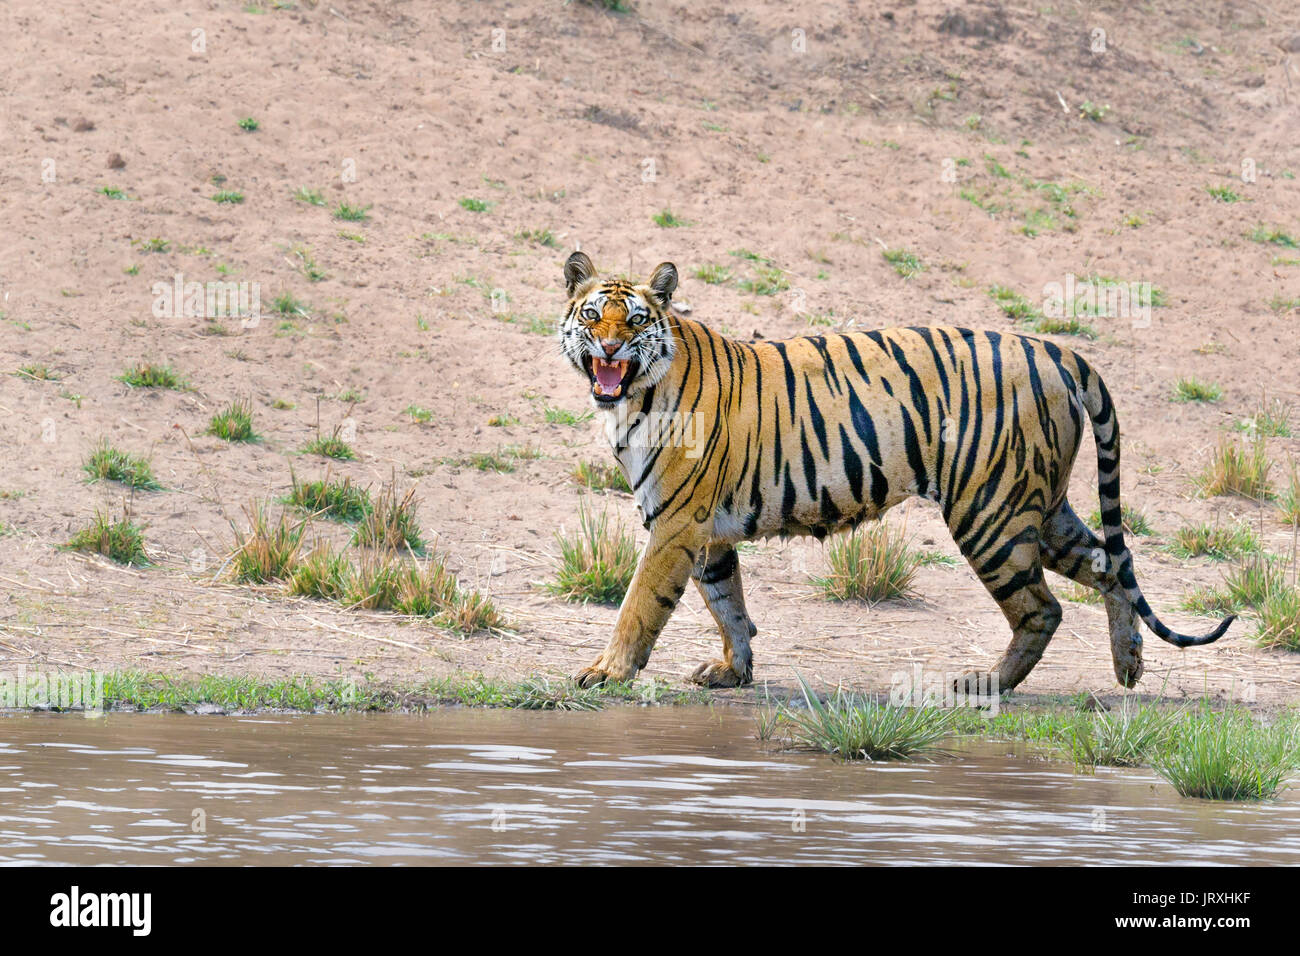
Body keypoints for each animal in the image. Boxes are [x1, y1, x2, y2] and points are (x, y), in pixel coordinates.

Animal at [553, 251, 1232, 691]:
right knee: (1108, 561)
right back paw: (1127, 665)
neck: (633, 397)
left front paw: (606, 671)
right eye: (592, 316)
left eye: (636, 319)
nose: (609, 348)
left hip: (990, 513)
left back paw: (986, 684)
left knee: (1043, 607)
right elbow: (729, 604)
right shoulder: (706, 531)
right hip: (1039, 507)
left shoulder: (676, 524)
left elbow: (640, 605)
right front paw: (733, 671)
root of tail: (1054, 347)